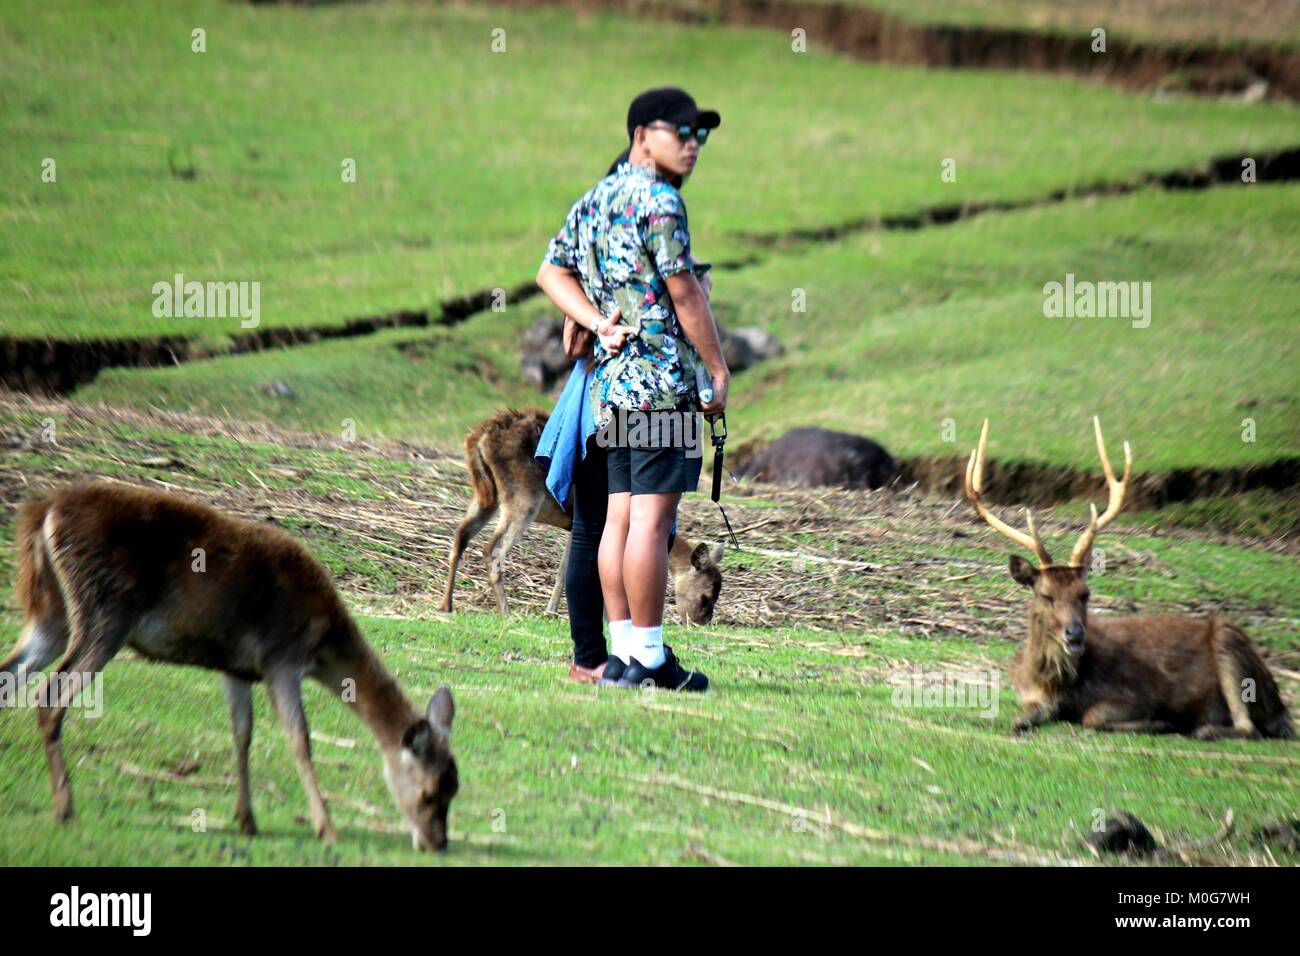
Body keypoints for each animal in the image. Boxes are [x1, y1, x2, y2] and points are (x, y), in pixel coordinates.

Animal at [1, 486, 462, 853]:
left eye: (454, 788)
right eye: (430, 793)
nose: (437, 843)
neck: (323, 643)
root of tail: (44, 512)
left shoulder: (237, 667)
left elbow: (242, 732)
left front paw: (248, 820)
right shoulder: (281, 658)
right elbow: (299, 739)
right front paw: (327, 828)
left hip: (51, 614)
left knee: (10, 677)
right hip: (106, 610)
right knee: (49, 696)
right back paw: (66, 808)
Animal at [436, 408, 722, 624]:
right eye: (706, 595)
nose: (700, 623)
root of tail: (479, 438)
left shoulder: (576, 525)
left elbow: (568, 570)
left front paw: (552, 611)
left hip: (486, 495)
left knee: (459, 538)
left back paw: (446, 604)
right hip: (523, 497)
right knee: (492, 550)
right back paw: (505, 611)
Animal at [967, 418, 1289, 738]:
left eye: (1085, 594)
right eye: (1046, 595)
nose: (1075, 633)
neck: (1055, 686)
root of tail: (1281, 709)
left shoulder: (1139, 694)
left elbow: (1092, 716)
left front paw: (1160, 722)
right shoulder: (1029, 694)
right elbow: (1025, 716)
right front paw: (1023, 720)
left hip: (1230, 642)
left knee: (1249, 726)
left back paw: (1202, 729)